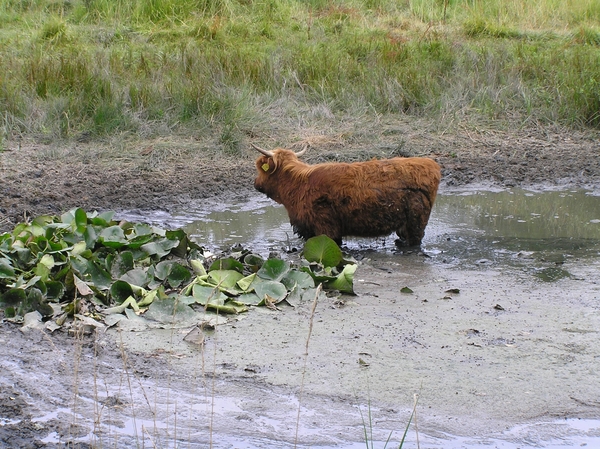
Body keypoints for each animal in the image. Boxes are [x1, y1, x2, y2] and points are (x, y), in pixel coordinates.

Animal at [253, 145, 440, 247]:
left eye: (259, 168)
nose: (255, 183)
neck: (298, 185)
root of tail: (430, 164)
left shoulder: (326, 229)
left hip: (416, 224)